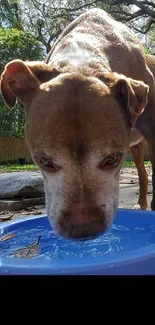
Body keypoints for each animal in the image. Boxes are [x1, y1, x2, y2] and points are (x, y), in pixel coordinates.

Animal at [0, 8, 154, 239]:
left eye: (112, 160)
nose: (83, 229)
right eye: (45, 162)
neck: (81, 60)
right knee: (142, 173)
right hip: (136, 147)